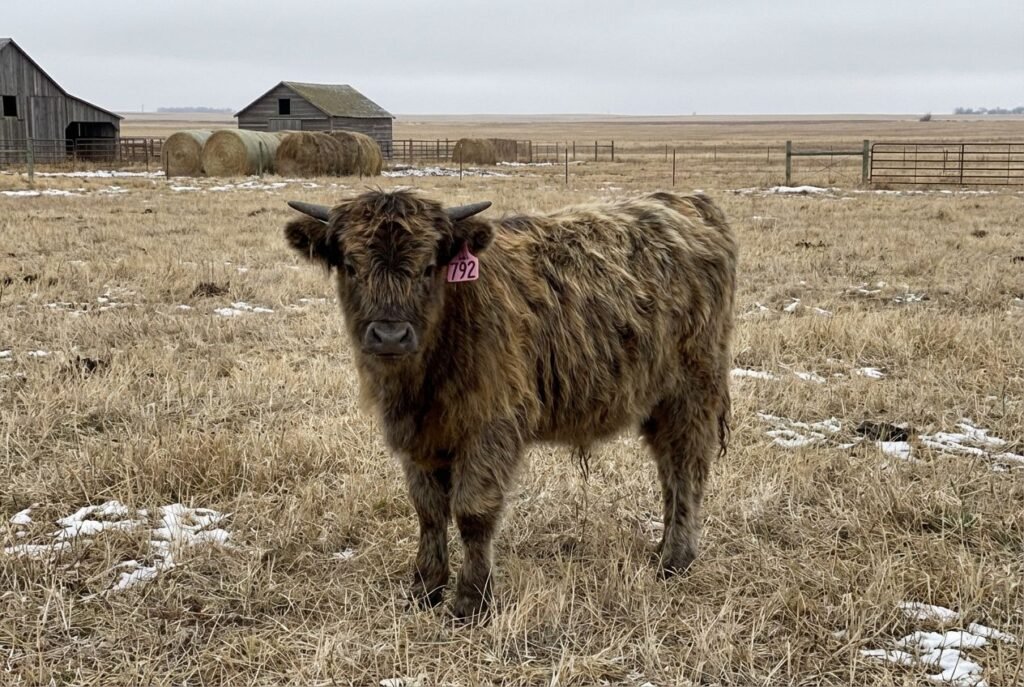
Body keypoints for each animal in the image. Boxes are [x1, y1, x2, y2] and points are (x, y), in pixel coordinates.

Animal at [284, 188, 736, 619]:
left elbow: (473, 512)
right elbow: (428, 510)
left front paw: (471, 600)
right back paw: (662, 547)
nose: (390, 335)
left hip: (691, 394)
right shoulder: (418, 437)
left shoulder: (492, 426)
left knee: (687, 469)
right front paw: (425, 588)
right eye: (350, 265)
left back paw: (675, 560)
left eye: (429, 267)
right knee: (669, 470)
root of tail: (687, 202)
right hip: (658, 403)